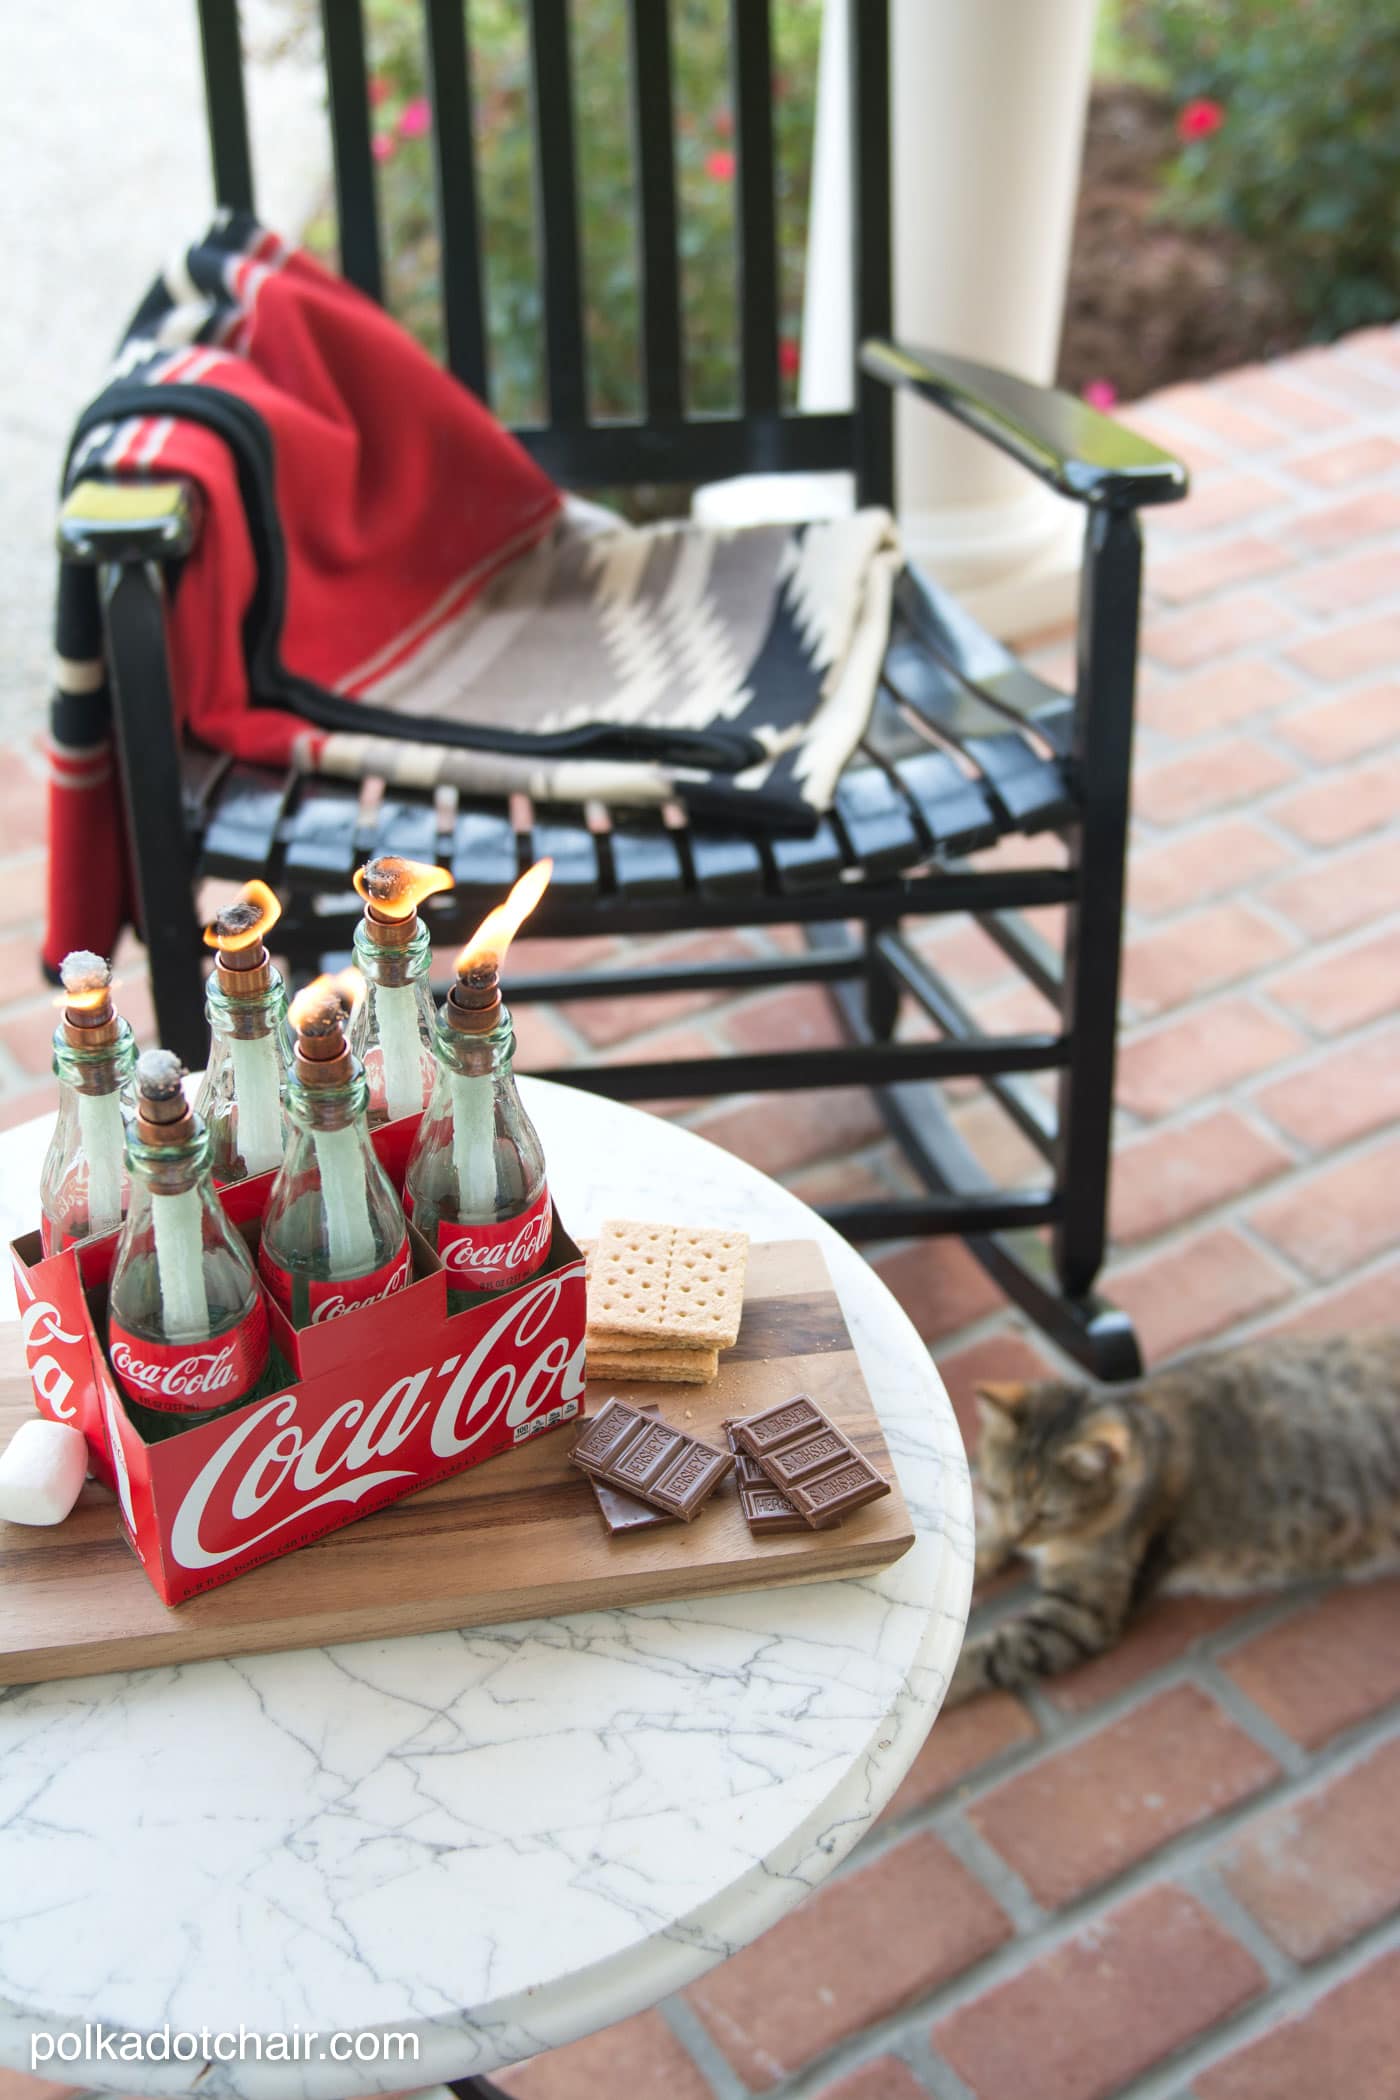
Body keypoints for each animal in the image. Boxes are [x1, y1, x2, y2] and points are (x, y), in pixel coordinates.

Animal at [948, 1335, 1400, 1713]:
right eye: (996, 1494)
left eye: (1047, 1514)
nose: (1018, 1535)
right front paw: (986, 1549)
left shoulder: (1075, 1616)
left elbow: (993, 1651)